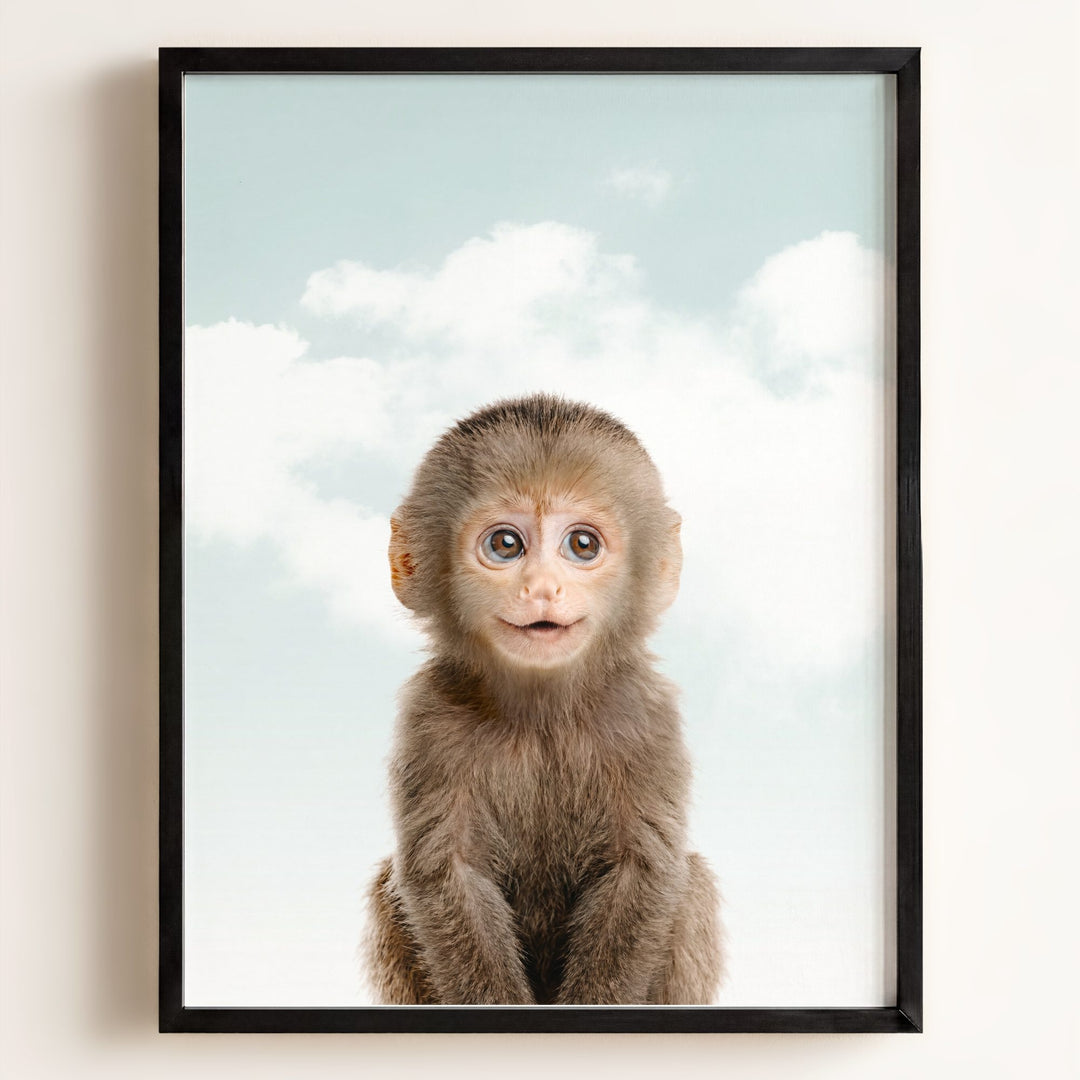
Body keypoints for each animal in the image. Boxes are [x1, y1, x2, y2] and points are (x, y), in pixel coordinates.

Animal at [365, 394, 722, 1005]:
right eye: (505, 544)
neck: (542, 714)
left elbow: (643, 871)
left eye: (582, 544)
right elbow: (446, 873)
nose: (542, 589)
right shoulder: (430, 716)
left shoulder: (646, 714)